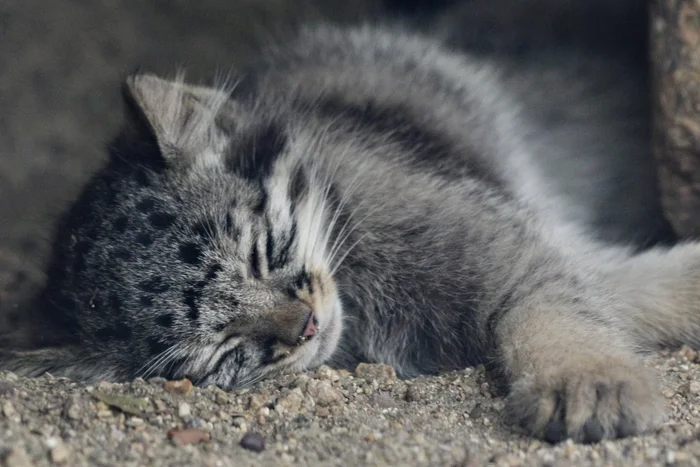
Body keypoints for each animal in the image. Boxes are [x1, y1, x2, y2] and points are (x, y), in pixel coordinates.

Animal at [1, 0, 700, 446]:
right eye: (221, 351)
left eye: (263, 251)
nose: (307, 325)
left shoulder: (510, 242)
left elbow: (557, 308)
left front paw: (588, 380)